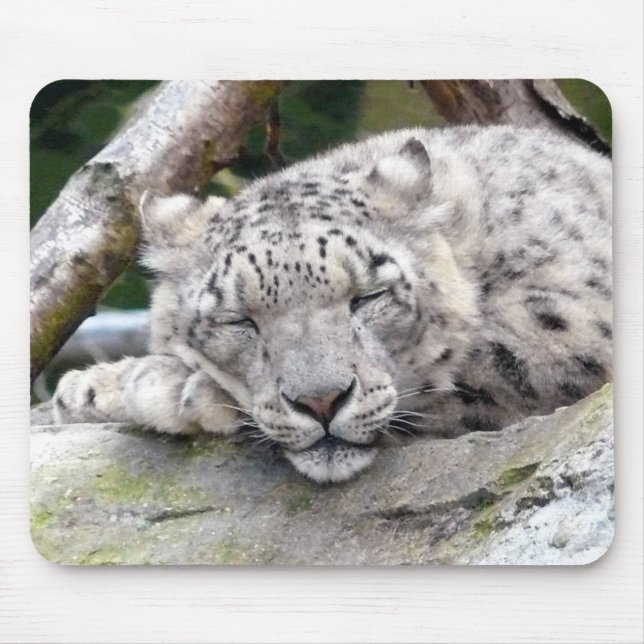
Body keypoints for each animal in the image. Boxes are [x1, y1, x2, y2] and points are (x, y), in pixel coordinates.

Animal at [52, 125, 612, 483]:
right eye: (239, 319)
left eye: (367, 297)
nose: (320, 402)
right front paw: (91, 390)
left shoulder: (573, 323)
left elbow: (459, 371)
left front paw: (170, 387)